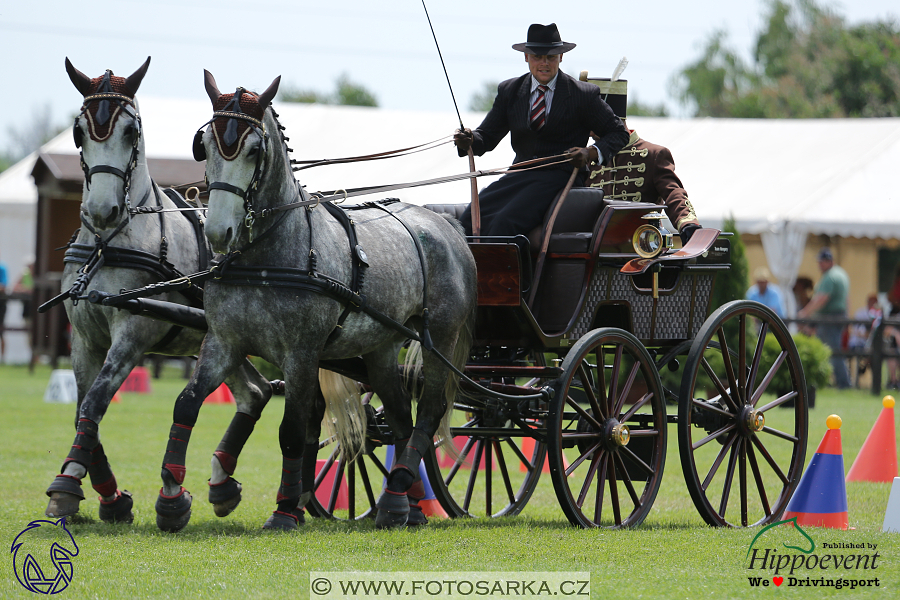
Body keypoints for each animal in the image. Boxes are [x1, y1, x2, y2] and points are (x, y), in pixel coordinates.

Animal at [45, 56, 272, 524]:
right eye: (79, 132)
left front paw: (67, 483)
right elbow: (81, 410)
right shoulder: (84, 339)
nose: (102, 211)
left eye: (131, 132)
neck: (108, 244)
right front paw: (110, 497)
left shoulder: (131, 336)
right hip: (222, 341)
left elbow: (95, 403)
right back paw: (222, 485)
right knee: (257, 392)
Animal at [154, 70, 478, 528]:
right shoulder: (223, 343)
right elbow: (186, 405)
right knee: (400, 416)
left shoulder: (302, 354)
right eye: (205, 145)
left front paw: (285, 509)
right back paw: (402, 504)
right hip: (381, 347)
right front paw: (172, 496)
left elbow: (291, 431)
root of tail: (447, 223)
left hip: (442, 340)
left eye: (255, 150)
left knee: (428, 412)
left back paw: (399, 490)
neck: (265, 259)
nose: (218, 232)